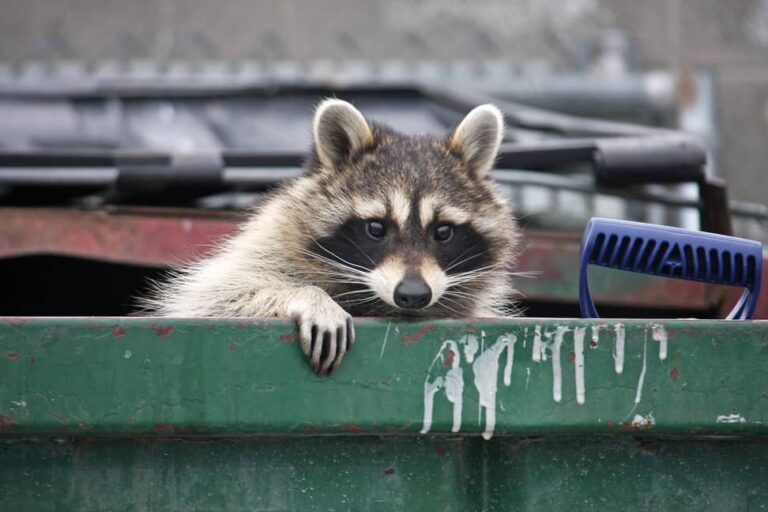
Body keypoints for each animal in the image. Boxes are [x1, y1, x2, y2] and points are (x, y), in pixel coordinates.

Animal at [143, 99, 520, 374]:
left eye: (443, 231)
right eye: (376, 228)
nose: (413, 294)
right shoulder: (263, 246)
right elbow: (214, 297)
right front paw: (308, 296)